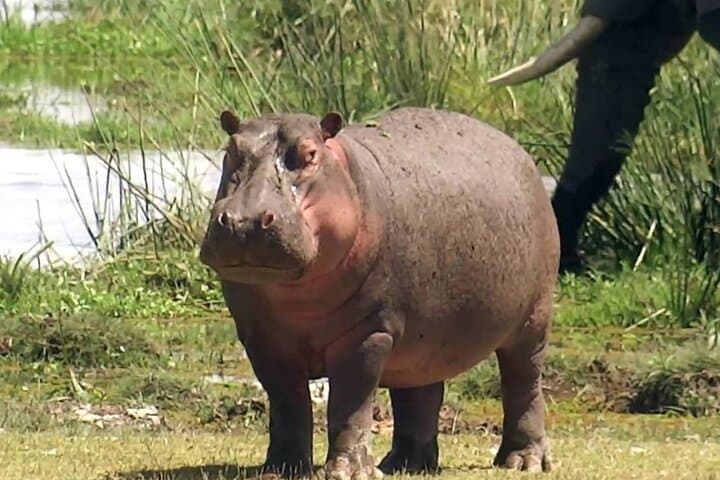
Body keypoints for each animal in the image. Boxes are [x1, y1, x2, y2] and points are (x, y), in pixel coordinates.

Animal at [199, 106, 560, 478]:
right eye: (231, 150)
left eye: (310, 154)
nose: (243, 221)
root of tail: (518, 149)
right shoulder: (262, 338)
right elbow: (287, 403)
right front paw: (279, 470)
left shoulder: (367, 333)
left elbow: (350, 404)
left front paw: (347, 471)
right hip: (423, 341)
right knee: (418, 394)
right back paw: (406, 465)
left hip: (534, 319)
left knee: (524, 382)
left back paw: (523, 461)